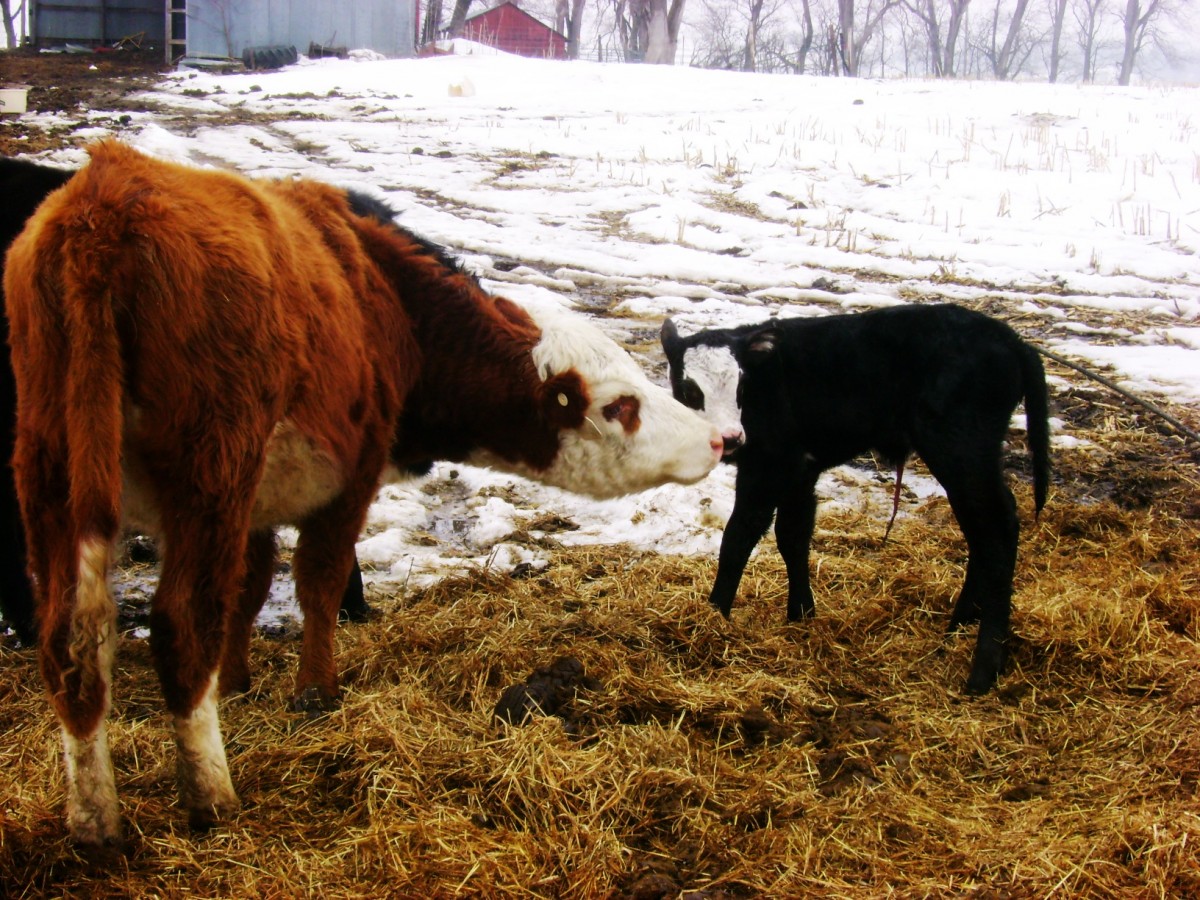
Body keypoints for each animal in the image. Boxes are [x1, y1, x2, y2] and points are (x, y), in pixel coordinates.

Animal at [667, 304, 1051, 696]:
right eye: (689, 390)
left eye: (742, 386)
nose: (730, 438)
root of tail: (1013, 340)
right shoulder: (801, 468)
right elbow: (793, 536)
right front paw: (801, 615)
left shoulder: (768, 467)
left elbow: (738, 538)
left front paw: (712, 616)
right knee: (982, 534)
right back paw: (959, 624)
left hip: (962, 451)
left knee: (998, 530)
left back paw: (984, 667)